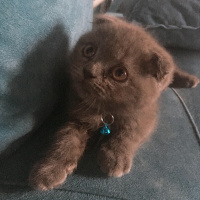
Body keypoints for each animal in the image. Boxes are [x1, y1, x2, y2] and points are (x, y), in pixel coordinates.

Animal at [28, 14, 199, 190]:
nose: (89, 71)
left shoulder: (146, 115)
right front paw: (49, 170)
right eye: (89, 50)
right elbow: (66, 139)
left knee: (173, 71)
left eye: (119, 73)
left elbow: (129, 134)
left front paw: (116, 157)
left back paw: (191, 80)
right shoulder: (77, 116)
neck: (105, 110)